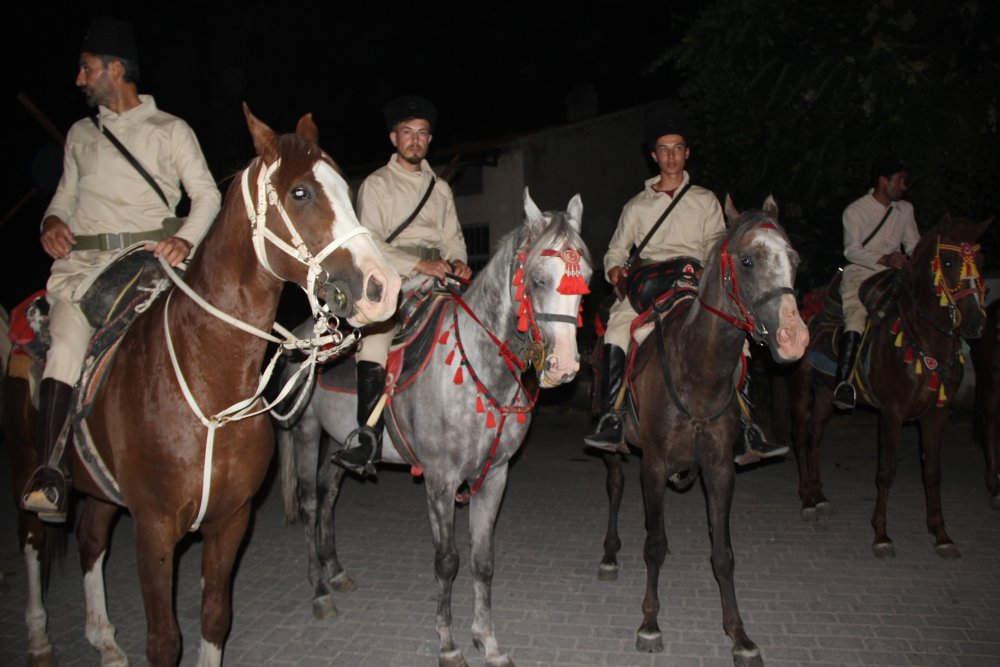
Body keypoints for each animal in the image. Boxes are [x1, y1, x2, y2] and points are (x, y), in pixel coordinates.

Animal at [4, 105, 402, 667]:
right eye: (301, 192)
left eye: (346, 189)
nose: (382, 287)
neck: (209, 381)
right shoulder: (153, 529)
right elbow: (164, 640)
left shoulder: (228, 520)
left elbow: (214, 618)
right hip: (27, 467)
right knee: (34, 539)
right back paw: (40, 637)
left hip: (101, 490)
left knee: (89, 538)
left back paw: (104, 640)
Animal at [592, 198, 812, 667]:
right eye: (747, 261)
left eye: (794, 259)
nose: (794, 338)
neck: (697, 369)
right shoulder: (653, 466)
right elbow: (652, 545)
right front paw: (650, 623)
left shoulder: (719, 469)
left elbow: (723, 554)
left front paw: (739, 636)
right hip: (616, 451)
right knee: (615, 488)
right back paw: (610, 554)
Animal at [788, 215, 992, 560]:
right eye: (949, 262)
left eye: (979, 262)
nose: (975, 323)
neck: (925, 340)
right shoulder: (893, 412)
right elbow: (886, 472)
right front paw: (881, 535)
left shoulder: (937, 414)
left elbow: (933, 473)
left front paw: (941, 535)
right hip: (803, 387)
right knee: (802, 438)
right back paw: (805, 500)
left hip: (827, 393)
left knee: (815, 437)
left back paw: (819, 495)